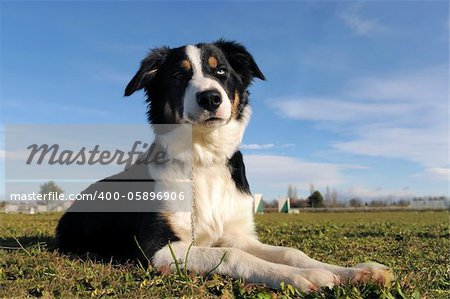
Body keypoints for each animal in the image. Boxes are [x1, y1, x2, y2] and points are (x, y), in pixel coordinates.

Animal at [57, 39, 394, 292]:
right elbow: (232, 255)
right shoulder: (159, 248)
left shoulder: (237, 233)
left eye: (220, 71)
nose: (210, 98)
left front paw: (354, 271)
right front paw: (302, 277)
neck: (204, 159)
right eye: (178, 76)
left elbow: (289, 251)